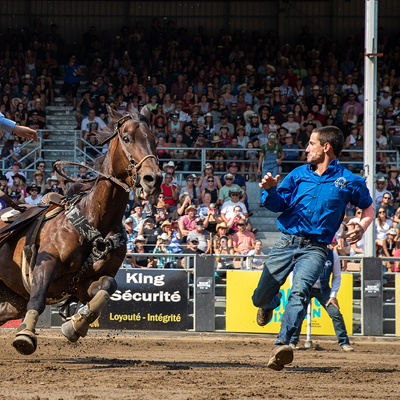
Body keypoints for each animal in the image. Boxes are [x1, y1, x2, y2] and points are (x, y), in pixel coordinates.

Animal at [0, 105, 162, 354]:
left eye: (154, 140)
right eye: (126, 138)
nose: (153, 178)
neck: (96, 219)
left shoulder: (82, 284)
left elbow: (107, 286)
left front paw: (76, 324)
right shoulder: (45, 265)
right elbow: (37, 298)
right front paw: (25, 334)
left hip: (10, 301)